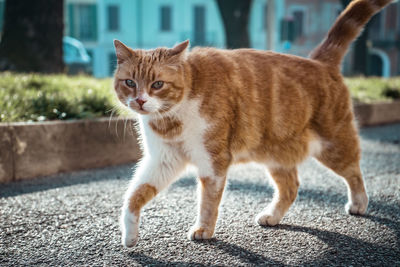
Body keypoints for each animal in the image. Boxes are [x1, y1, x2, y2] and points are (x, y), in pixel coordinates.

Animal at [113, 0, 394, 249]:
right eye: (130, 82)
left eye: (157, 84)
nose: (140, 100)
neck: (171, 120)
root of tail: (319, 61)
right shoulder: (163, 160)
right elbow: (134, 195)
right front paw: (129, 234)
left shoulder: (212, 162)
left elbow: (208, 201)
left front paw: (203, 229)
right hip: (276, 154)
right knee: (290, 187)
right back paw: (272, 216)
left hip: (333, 146)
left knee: (354, 172)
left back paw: (359, 204)